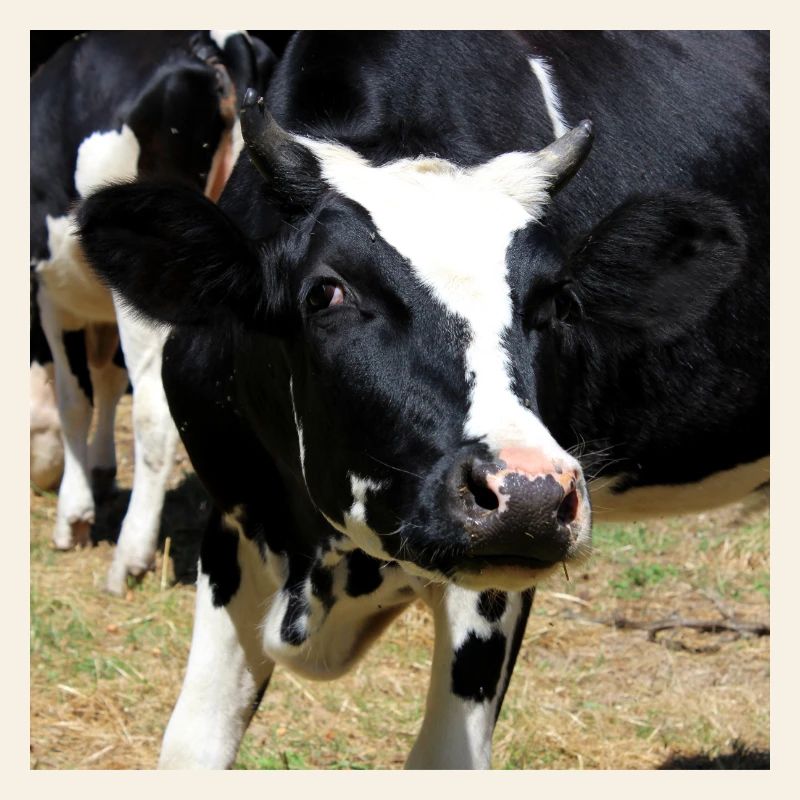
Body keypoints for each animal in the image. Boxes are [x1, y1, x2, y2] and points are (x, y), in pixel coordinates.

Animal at [30, 30, 275, 594]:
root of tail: (211, 43)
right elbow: (106, 380)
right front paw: (101, 471)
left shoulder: (53, 293)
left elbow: (74, 397)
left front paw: (74, 514)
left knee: (154, 412)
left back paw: (130, 555)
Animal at [77, 31, 768, 768]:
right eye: (326, 292)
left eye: (556, 304)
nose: (530, 494)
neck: (321, 562)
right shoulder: (237, 516)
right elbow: (191, 745)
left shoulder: (491, 584)